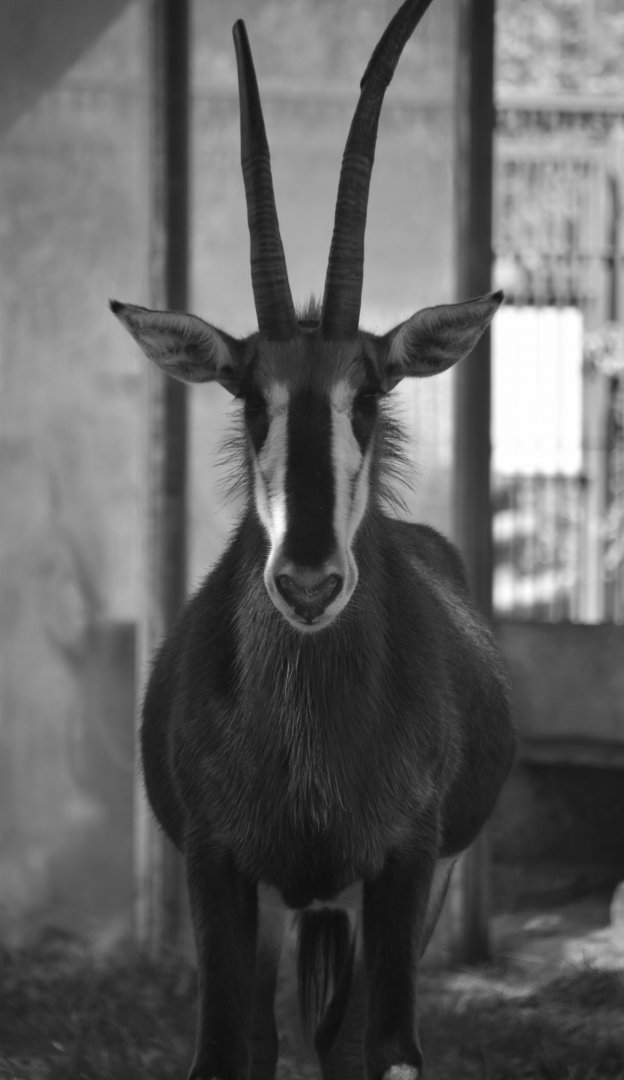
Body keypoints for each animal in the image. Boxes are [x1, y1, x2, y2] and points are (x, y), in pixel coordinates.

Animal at [111, 1, 516, 1077]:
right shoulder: (218, 865)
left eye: (368, 393)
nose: (305, 583)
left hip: (381, 896)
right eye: (249, 396)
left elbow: (390, 1049)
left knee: (342, 1044)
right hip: (290, 907)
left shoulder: (404, 864)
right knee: (274, 1038)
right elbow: (226, 1051)